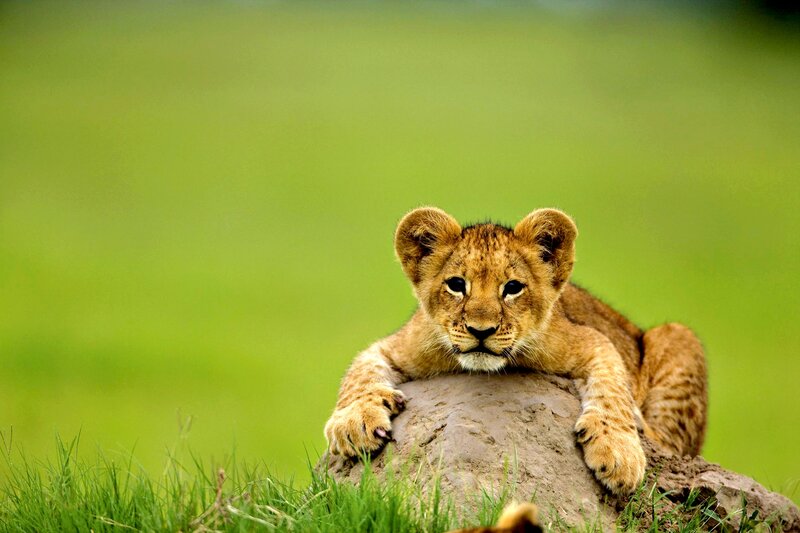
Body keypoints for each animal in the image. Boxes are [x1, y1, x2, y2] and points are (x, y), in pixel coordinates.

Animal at [324, 207, 708, 495]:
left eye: (512, 288)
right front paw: (354, 423)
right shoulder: (400, 344)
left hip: (678, 335)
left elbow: (613, 390)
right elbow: (359, 373)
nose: (481, 330)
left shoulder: (591, 339)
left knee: (670, 443)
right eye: (456, 285)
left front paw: (618, 451)